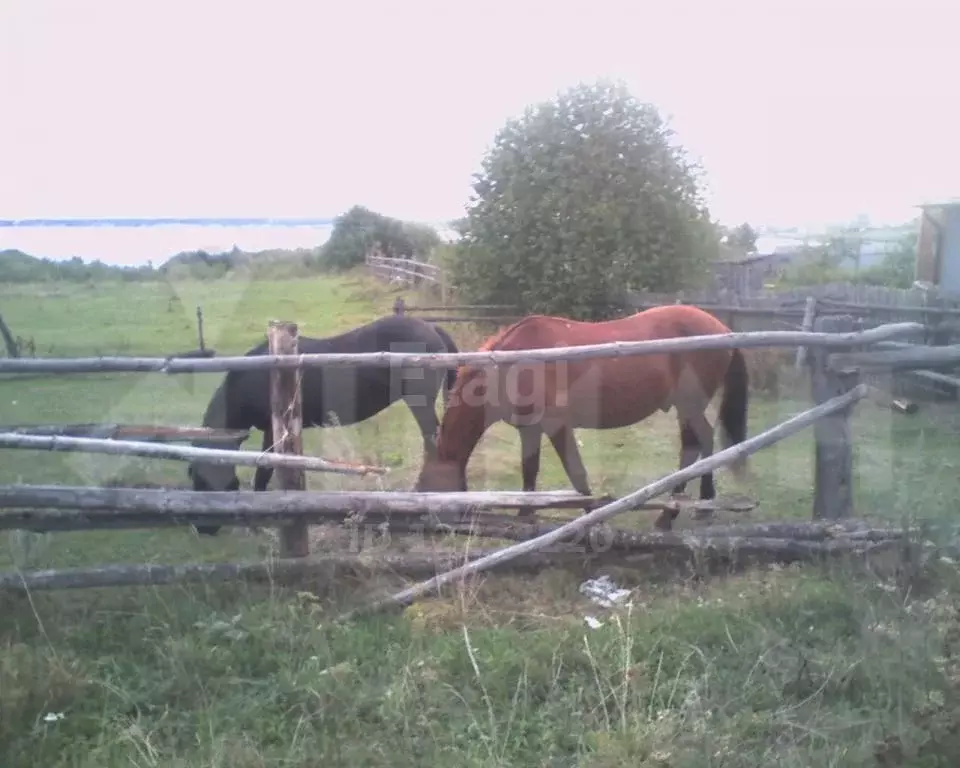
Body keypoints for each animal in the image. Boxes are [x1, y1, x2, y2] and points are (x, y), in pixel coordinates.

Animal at [188, 312, 462, 536]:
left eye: (200, 480)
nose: (204, 529)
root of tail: (431, 327)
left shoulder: (271, 429)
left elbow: (264, 470)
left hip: (420, 404)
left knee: (433, 444)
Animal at [412, 304, 752, 528]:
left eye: (426, 485)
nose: (418, 519)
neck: (511, 366)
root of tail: (722, 329)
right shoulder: (529, 429)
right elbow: (529, 471)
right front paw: (525, 516)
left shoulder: (557, 427)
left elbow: (576, 473)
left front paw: (590, 518)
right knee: (700, 444)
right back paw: (696, 506)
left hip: (689, 406)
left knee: (696, 446)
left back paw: (672, 514)